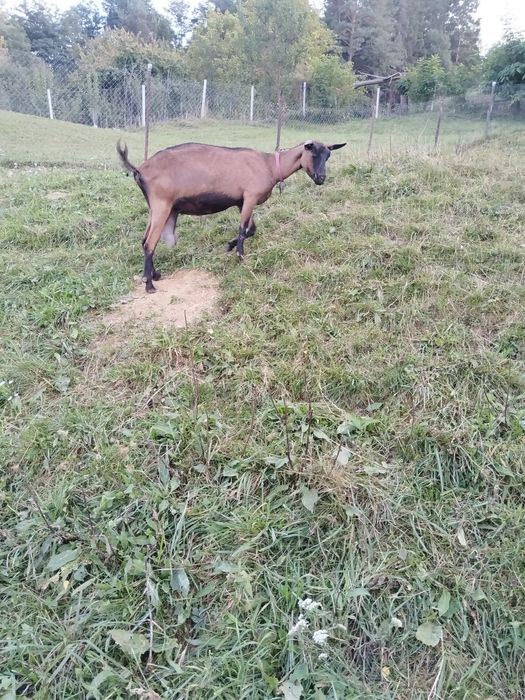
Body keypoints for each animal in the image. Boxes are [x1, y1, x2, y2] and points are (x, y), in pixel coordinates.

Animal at [117, 139, 346, 293]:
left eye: (328, 156)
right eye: (313, 154)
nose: (321, 178)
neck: (269, 164)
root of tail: (139, 169)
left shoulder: (241, 201)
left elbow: (251, 229)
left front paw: (229, 245)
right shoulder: (250, 196)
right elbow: (244, 229)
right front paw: (241, 256)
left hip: (155, 208)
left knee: (144, 240)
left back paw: (153, 275)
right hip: (161, 205)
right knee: (149, 243)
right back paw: (149, 284)